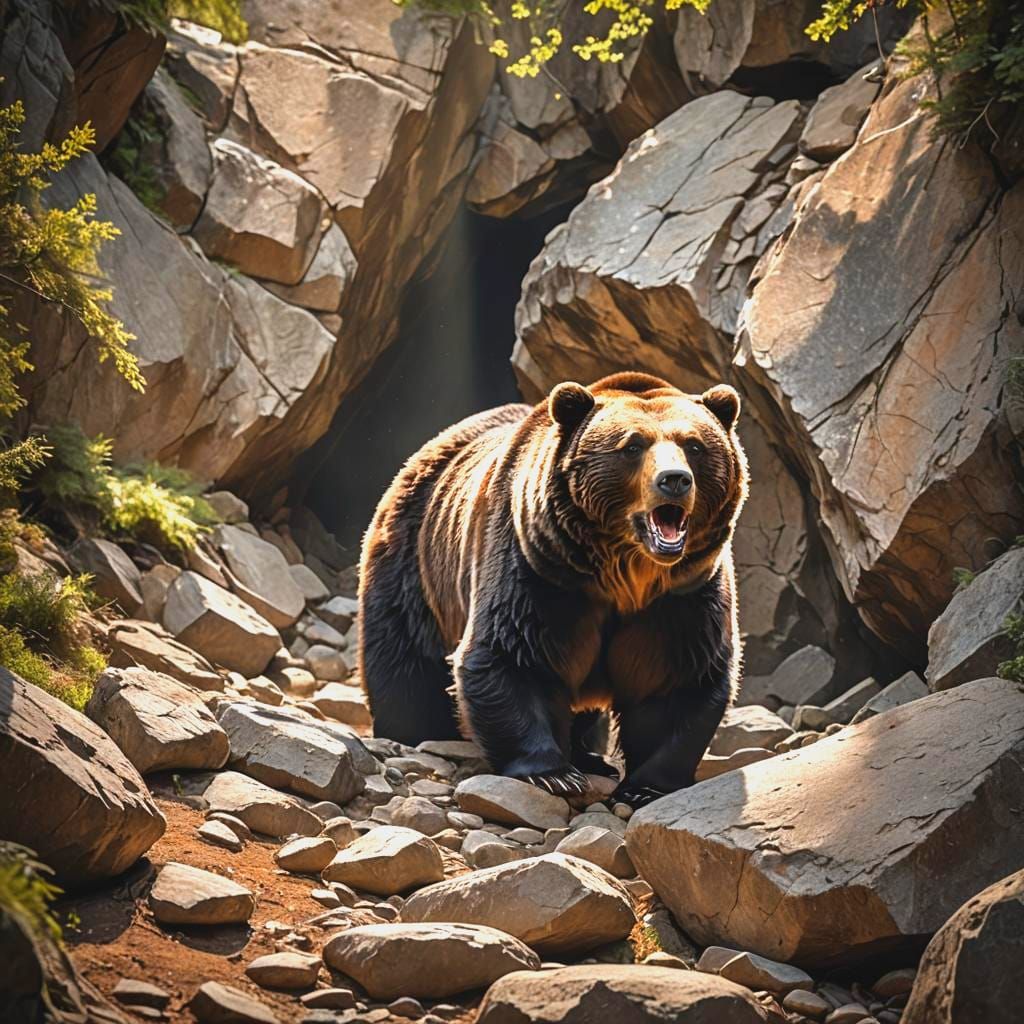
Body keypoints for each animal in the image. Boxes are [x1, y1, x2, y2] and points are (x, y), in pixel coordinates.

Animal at [358, 371, 748, 806]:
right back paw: (414, 732)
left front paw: (644, 787)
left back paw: (591, 757)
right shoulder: (538, 571)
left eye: (694, 445)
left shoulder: (681, 596)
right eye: (632, 446)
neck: (625, 577)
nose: (675, 480)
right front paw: (553, 775)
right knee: (405, 660)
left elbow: (674, 679)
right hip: (416, 562)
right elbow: (511, 656)